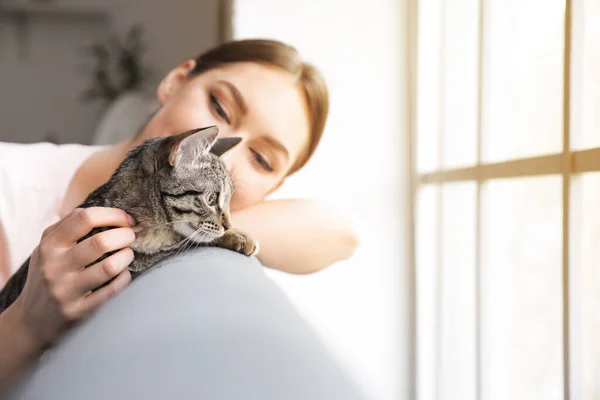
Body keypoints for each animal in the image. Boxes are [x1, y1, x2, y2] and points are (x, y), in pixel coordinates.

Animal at [0, 126, 258, 314]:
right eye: (211, 198)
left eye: (229, 200)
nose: (228, 224)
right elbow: (187, 243)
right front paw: (235, 236)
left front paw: (234, 234)